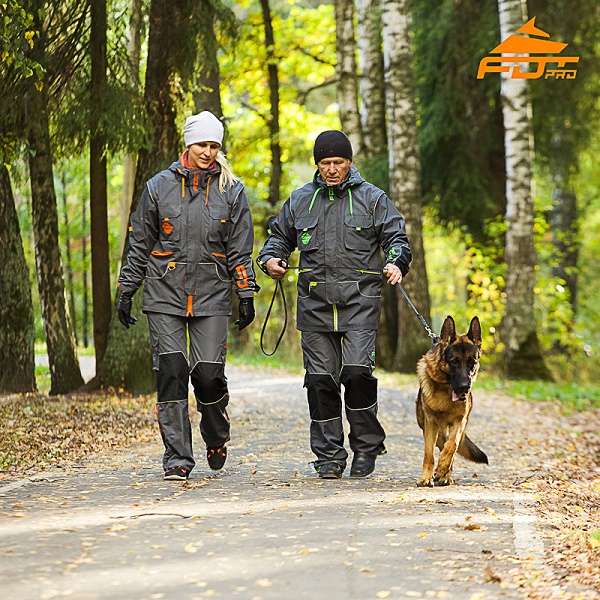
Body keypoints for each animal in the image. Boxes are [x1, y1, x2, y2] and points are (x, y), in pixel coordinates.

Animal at [418, 316, 488, 486]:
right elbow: (429, 453)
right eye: (454, 361)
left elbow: (452, 445)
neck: (446, 391)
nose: (464, 387)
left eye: (472, 362)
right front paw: (426, 478)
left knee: (451, 447)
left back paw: (445, 475)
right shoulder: (431, 424)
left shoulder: (459, 421)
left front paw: (442, 467)